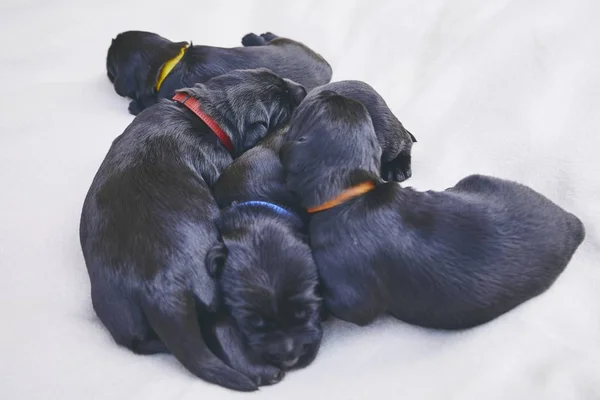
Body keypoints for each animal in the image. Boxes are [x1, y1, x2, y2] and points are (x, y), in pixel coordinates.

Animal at [79, 69, 304, 390]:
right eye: (283, 107)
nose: (303, 89)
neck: (203, 114)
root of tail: (161, 292)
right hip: (212, 281)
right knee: (221, 325)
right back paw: (262, 371)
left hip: (120, 317)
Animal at [282, 91, 584, 332]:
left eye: (309, 112)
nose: (331, 91)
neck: (350, 190)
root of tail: (574, 224)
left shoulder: (351, 296)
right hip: (479, 181)